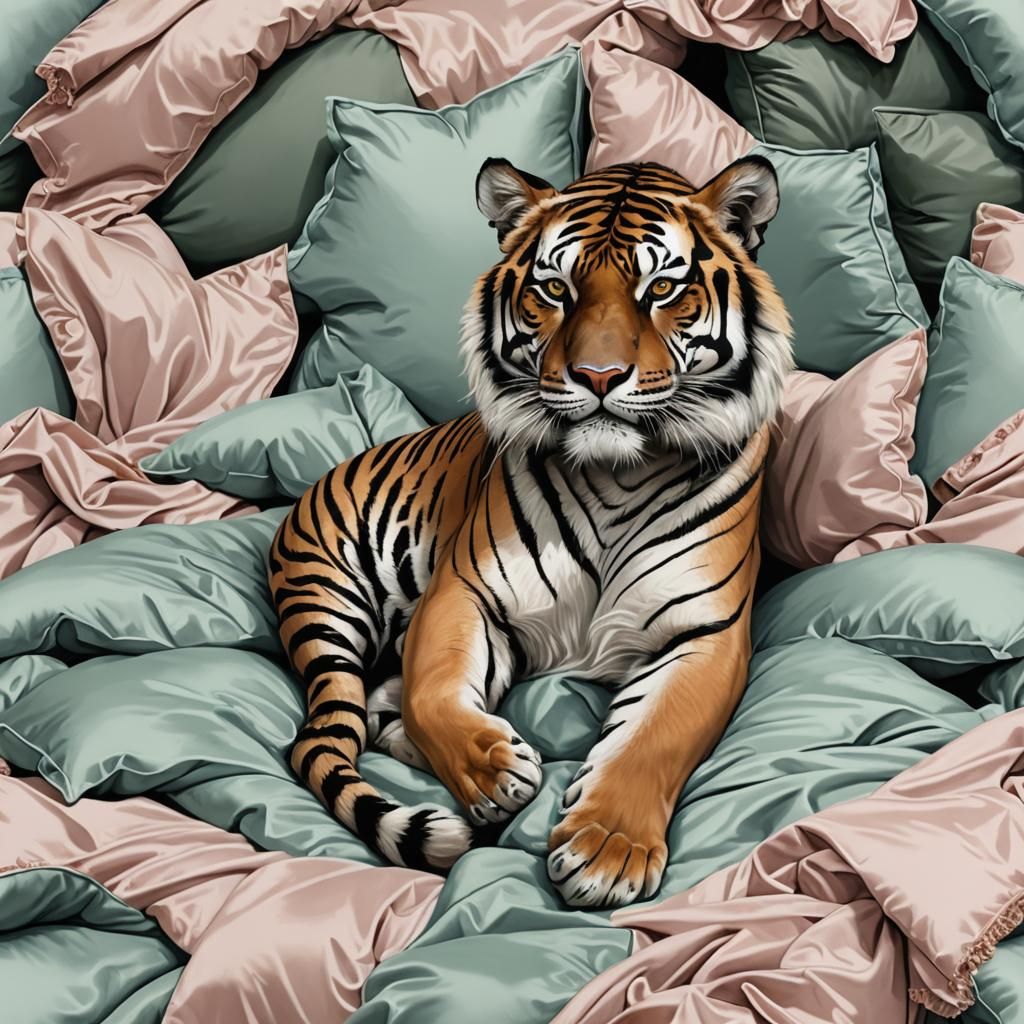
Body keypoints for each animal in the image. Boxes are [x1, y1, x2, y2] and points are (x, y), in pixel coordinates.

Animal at [268, 155, 792, 909]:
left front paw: (607, 851)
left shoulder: (706, 631)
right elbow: (433, 690)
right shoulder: (464, 590)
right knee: (340, 721)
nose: (598, 376)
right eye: (555, 289)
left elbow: (654, 737)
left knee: (373, 711)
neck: (617, 475)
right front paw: (493, 773)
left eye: (662, 289)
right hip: (327, 603)